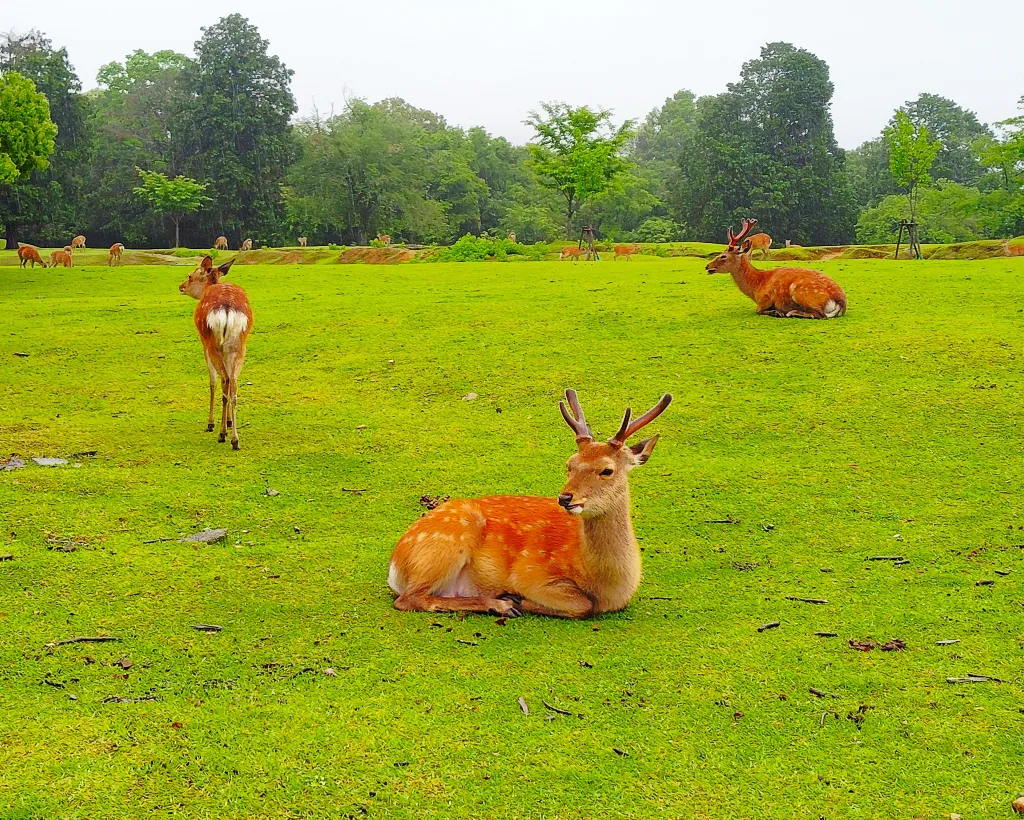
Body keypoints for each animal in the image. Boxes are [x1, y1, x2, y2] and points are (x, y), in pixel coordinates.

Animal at [178, 256, 253, 450]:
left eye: (190, 275)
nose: (181, 286)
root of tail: (227, 310)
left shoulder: (203, 343)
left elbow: (212, 381)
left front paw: (211, 423)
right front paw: (228, 421)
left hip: (214, 344)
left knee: (224, 380)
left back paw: (223, 434)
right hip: (238, 346)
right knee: (233, 384)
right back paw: (234, 438)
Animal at [388, 389, 672, 619]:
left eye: (607, 470)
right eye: (569, 464)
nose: (565, 498)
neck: (610, 586)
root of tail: (395, 566)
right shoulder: (531, 573)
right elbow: (583, 605)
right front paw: (516, 599)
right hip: (448, 541)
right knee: (410, 599)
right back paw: (501, 604)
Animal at [706, 219, 846, 319]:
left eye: (723, 256)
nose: (707, 266)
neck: (756, 287)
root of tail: (840, 302)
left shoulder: (764, 300)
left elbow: (758, 310)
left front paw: (776, 312)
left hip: (801, 292)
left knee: (820, 314)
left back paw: (790, 312)